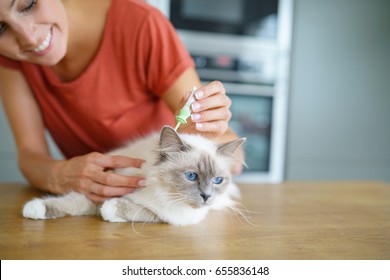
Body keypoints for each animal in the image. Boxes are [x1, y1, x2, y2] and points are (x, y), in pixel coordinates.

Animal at [22, 126, 245, 226]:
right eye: (191, 176)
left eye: (217, 180)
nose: (206, 196)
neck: (157, 187)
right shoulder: (100, 189)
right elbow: (70, 202)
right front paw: (35, 208)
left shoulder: (167, 214)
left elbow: (133, 209)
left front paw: (109, 209)